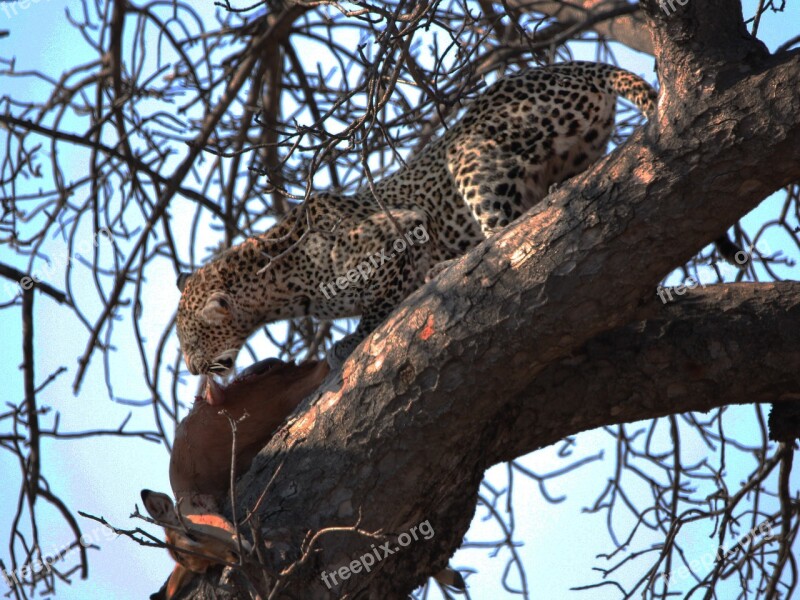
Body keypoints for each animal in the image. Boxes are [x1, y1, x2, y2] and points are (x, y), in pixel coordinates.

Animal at [173, 59, 656, 376]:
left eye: (192, 340)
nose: (195, 371)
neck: (281, 288)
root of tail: (580, 66)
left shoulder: (399, 232)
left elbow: (378, 305)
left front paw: (350, 340)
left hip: (469, 151)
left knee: (508, 234)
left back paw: (449, 266)